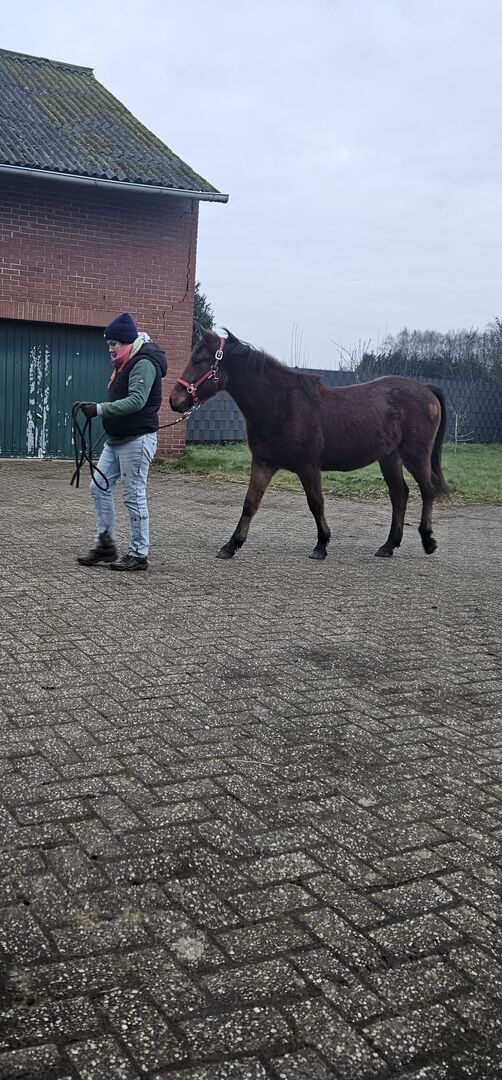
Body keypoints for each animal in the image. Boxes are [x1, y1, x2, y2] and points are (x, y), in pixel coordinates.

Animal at [169, 329, 449, 561]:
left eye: (200, 360)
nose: (175, 400)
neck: (283, 405)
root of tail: (426, 389)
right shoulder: (263, 463)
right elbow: (250, 503)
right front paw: (231, 545)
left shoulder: (308, 467)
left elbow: (316, 504)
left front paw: (321, 545)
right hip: (389, 458)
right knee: (400, 495)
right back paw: (389, 545)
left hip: (415, 456)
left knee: (427, 490)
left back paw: (428, 541)